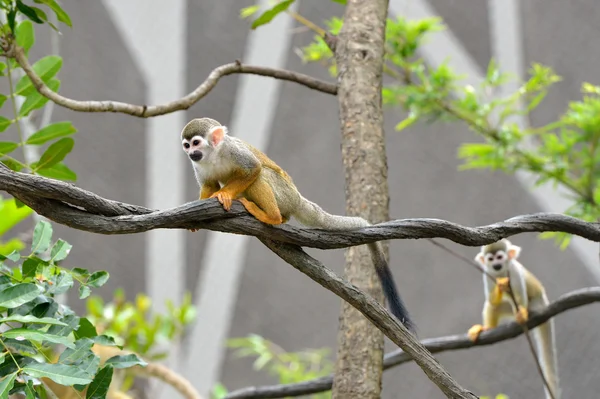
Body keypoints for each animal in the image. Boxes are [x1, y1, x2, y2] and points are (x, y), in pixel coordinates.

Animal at [180, 116, 414, 332]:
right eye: (187, 145)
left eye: (196, 143)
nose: (191, 153)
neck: (213, 155)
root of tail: (297, 198)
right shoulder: (199, 166)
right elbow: (209, 184)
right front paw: (197, 216)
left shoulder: (233, 150)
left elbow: (253, 168)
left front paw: (225, 194)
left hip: (283, 193)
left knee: (261, 175)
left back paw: (272, 217)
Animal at [466, 241, 560, 399]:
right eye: (490, 259)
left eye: (499, 257)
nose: (496, 264)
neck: (501, 272)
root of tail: (544, 302)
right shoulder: (487, 273)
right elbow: (491, 301)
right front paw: (500, 285)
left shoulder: (514, 271)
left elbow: (520, 297)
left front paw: (521, 312)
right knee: (495, 305)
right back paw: (487, 328)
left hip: (536, 304)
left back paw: (522, 315)